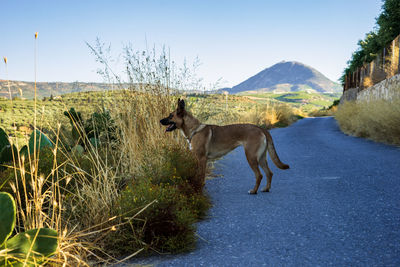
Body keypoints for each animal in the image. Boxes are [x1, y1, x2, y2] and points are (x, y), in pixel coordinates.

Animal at [160, 98, 290, 195]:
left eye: (170, 116)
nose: (160, 121)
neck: (194, 130)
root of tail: (261, 128)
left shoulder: (202, 159)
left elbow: (201, 176)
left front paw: (200, 189)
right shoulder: (198, 159)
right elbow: (198, 175)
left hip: (251, 157)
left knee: (259, 175)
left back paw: (253, 191)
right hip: (262, 158)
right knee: (269, 173)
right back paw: (266, 189)